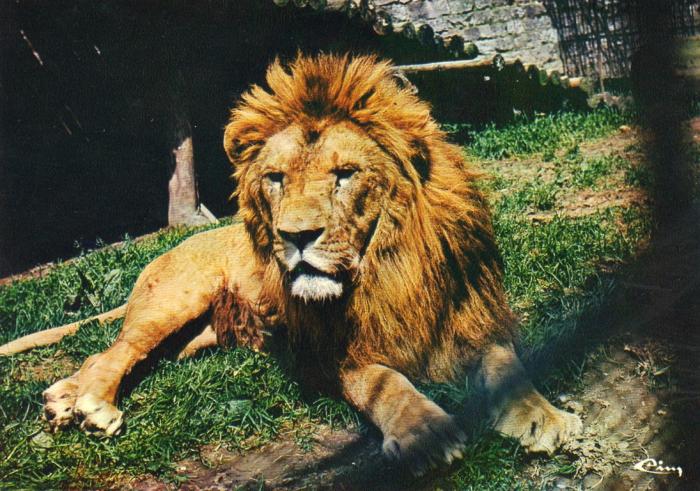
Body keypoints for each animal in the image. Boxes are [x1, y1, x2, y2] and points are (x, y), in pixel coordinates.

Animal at [0, 54, 581, 474]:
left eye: (345, 174)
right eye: (275, 178)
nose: (295, 236)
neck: (389, 273)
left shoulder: (471, 316)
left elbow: (507, 366)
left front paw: (544, 417)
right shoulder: (328, 353)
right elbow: (383, 384)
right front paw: (425, 433)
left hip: (192, 340)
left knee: (110, 356)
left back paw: (62, 400)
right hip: (174, 301)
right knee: (114, 352)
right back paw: (92, 406)